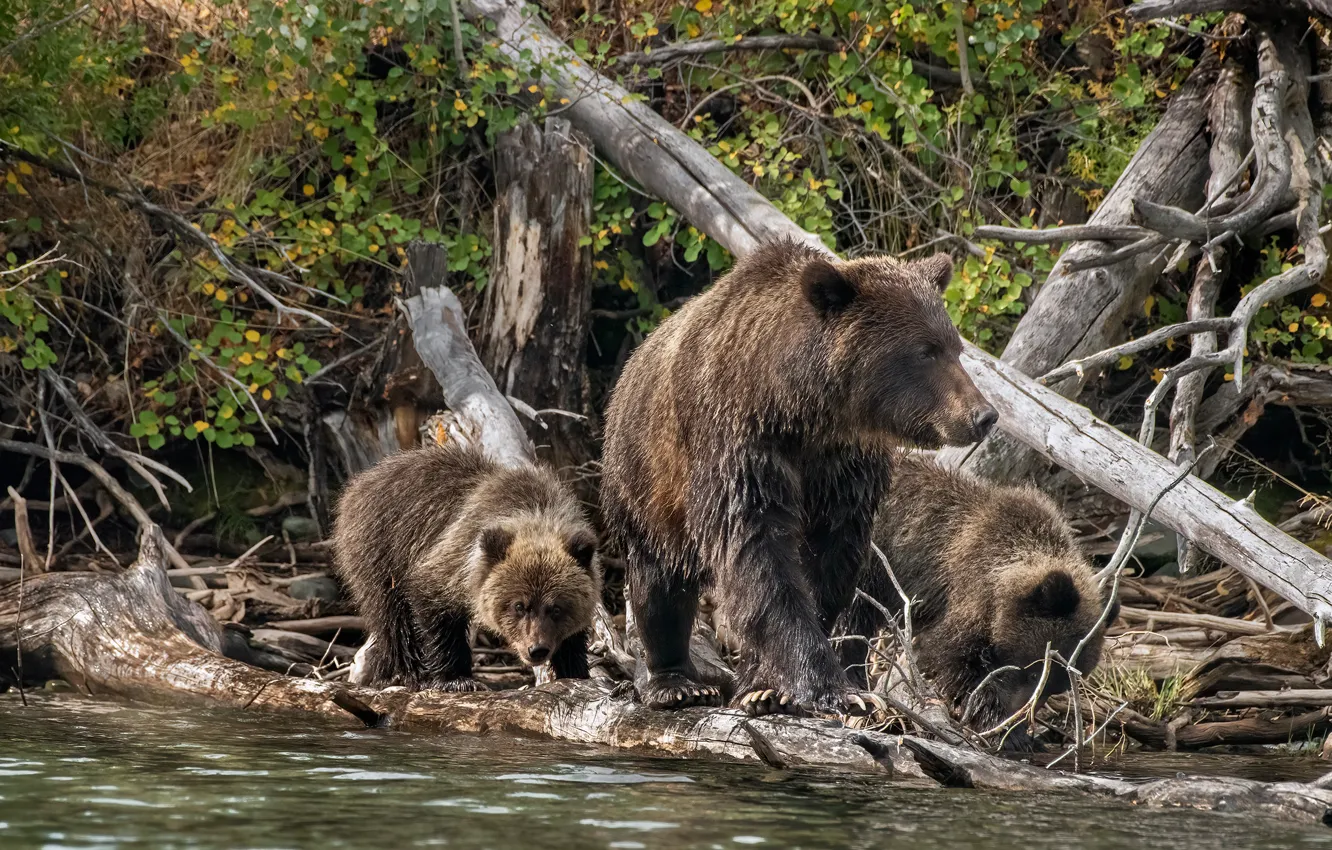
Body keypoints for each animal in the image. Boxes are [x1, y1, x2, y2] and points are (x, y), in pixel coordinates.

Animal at [333, 447, 599, 692]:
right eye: (519, 605)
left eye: (556, 608)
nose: (536, 649)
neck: (535, 511)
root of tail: (362, 480)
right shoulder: (454, 554)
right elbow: (433, 605)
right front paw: (457, 679)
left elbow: (574, 638)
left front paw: (576, 670)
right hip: (380, 548)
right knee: (391, 616)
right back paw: (405, 672)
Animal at [599, 241, 996, 719]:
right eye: (925, 350)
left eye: (955, 348)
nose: (983, 415)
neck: (802, 410)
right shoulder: (740, 445)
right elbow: (759, 556)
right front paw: (833, 688)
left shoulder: (843, 469)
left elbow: (829, 563)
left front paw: (775, 684)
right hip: (642, 481)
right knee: (659, 584)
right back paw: (676, 682)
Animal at [841, 452, 1113, 746]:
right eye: (1033, 671)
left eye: (1056, 688)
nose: (1018, 719)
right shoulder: (968, 592)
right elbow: (959, 660)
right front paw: (1005, 730)